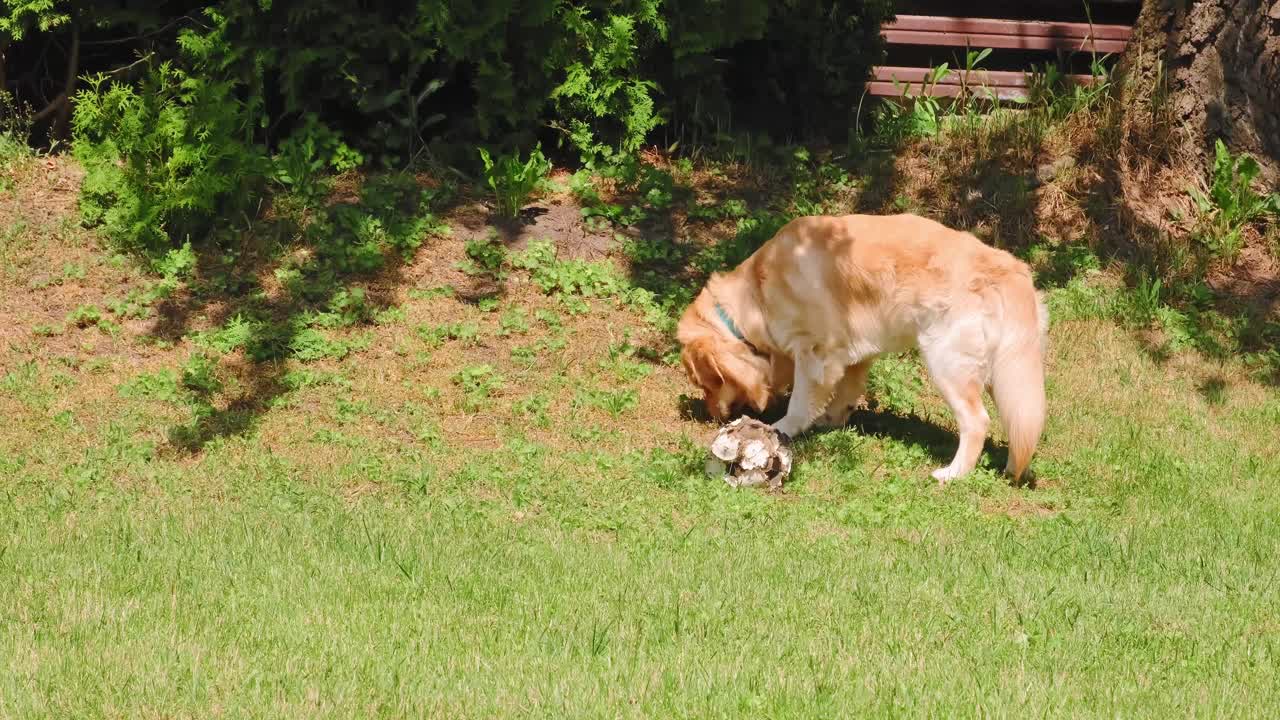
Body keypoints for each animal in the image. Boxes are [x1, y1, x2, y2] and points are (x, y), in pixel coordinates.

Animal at [675, 212, 1044, 481]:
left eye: (706, 383)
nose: (711, 417)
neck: (756, 294)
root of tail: (1010, 267)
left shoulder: (814, 352)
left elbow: (799, 404)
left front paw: (781, 429)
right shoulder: (851, 354)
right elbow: (844, 393)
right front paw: (831, 420)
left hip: (947, 361)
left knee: (977, 421)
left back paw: (953, 473)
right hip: (1004, 373)